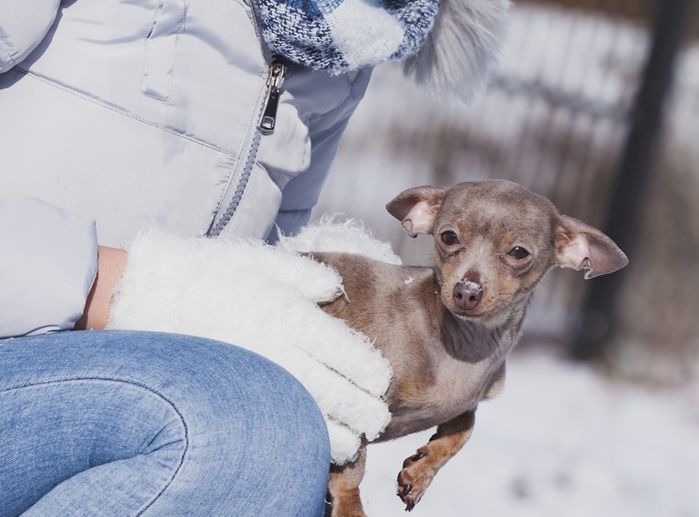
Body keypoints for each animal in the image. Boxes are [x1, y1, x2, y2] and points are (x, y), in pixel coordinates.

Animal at [312, 179, 628, 512]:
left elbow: (464, 430)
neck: (463, 346)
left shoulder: (468, 404)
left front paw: (421, 471)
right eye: (449, 237)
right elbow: (352, 462)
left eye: (519, 252)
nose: (467, 290)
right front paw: (351, 505)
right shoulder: (358, 402)